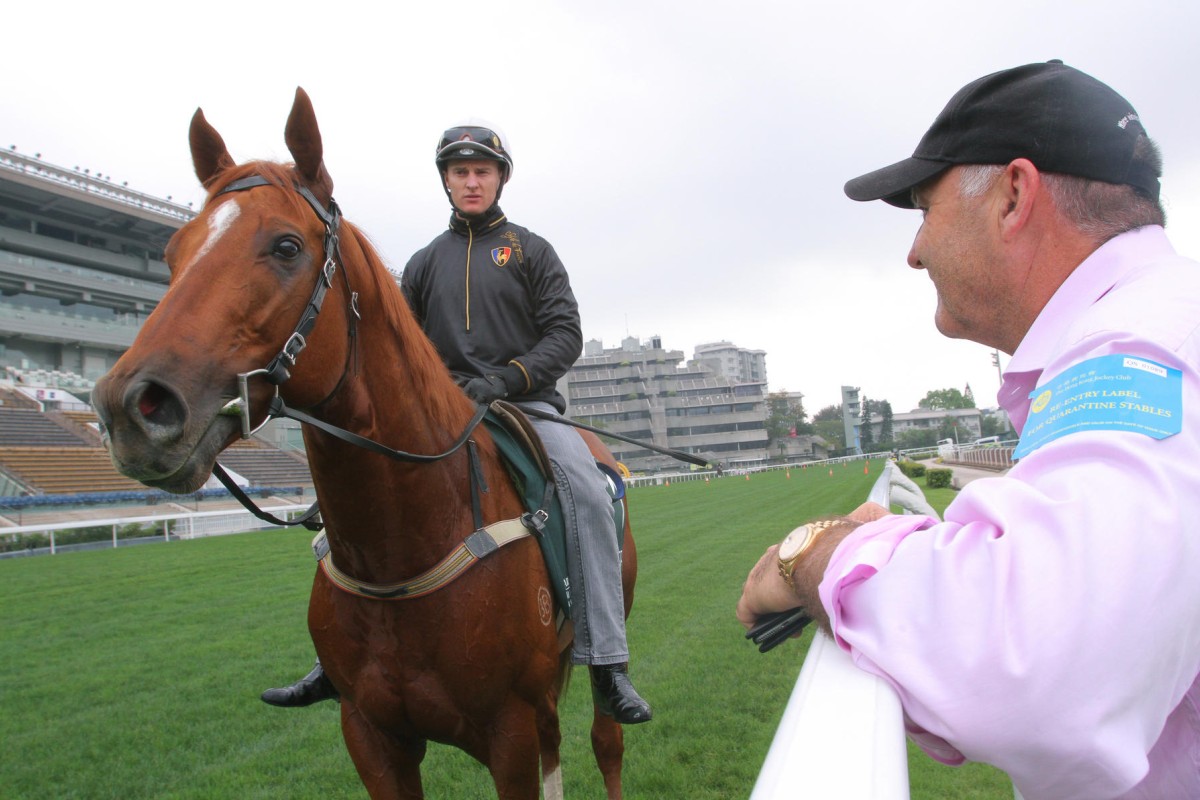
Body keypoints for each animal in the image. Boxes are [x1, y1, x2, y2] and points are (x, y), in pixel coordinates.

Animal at [91, 88, 635, 800]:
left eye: (286, 245)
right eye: (172, 251)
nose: (129, 406)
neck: (400, 547)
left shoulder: (511, 731)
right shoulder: (372, 736)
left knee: (607, 739)